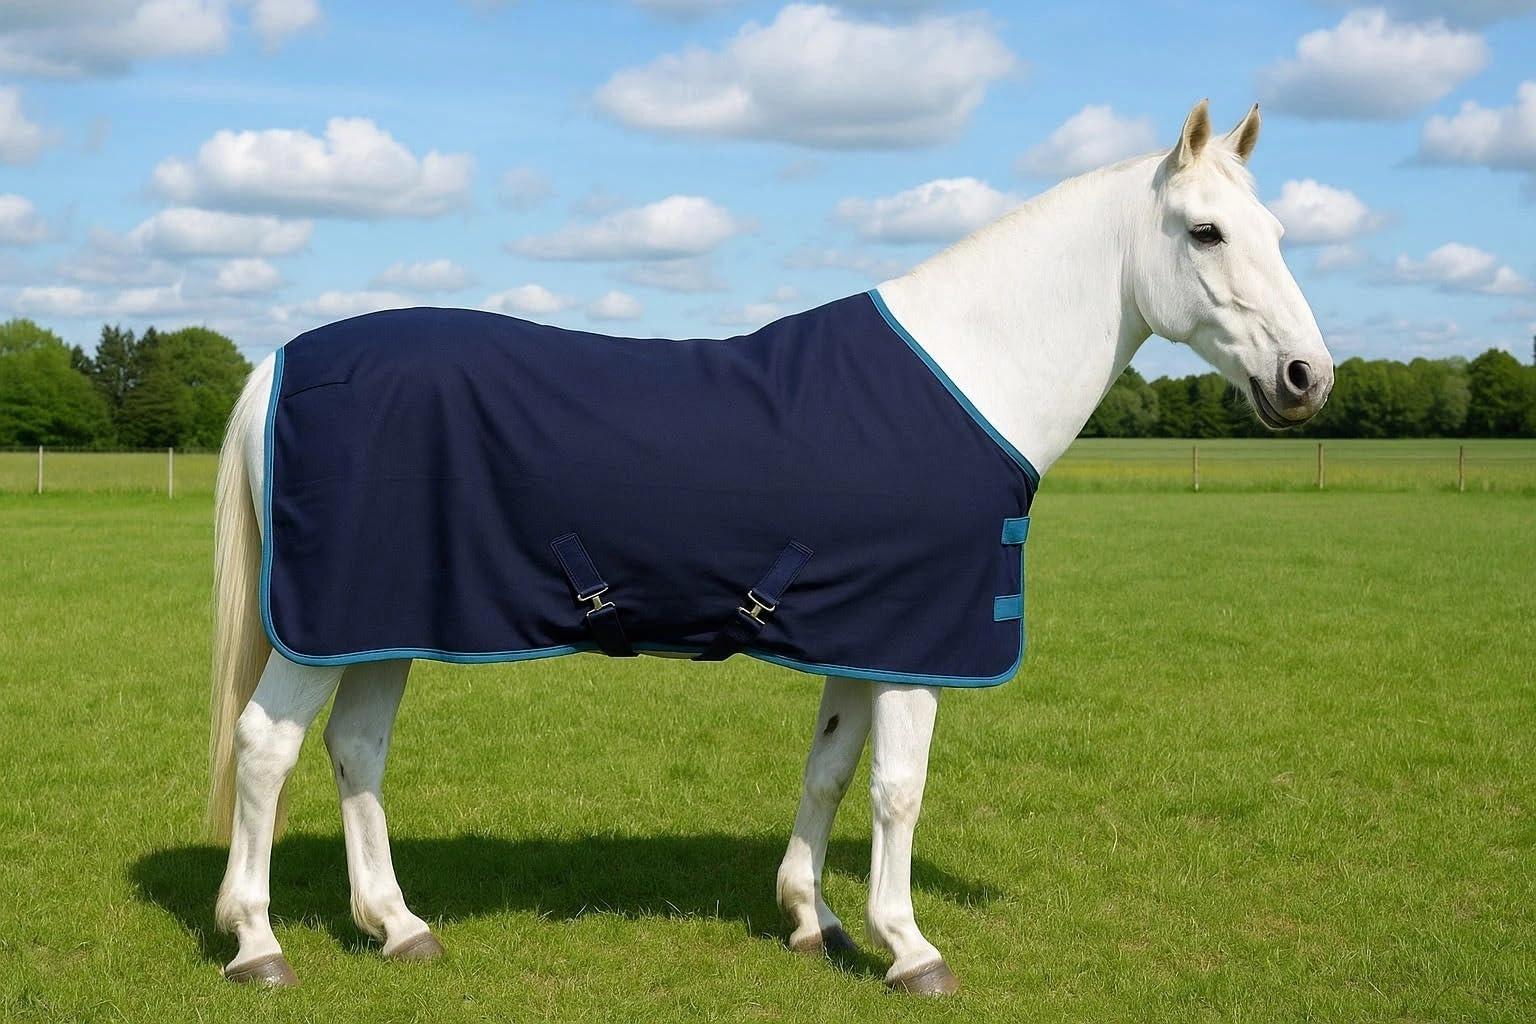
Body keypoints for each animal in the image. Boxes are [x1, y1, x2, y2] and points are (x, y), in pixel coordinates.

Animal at [206, 100, 1334, 994]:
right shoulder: (917, 648)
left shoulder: (864, 633)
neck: (968, 373)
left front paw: (811, 918)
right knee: (266, 748)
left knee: (357, 750)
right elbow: (897, 790)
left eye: (1278, 230)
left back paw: (398, 927)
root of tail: (282, 364)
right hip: (323, 631)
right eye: (1205, 231)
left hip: (377, 624)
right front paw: (909, 946)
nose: (1306, 378)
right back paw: (258, 944)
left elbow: (829, 770)